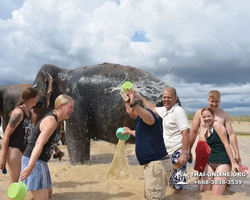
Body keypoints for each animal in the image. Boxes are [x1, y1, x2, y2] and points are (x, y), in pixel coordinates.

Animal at [33, 63, 180, 165]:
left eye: (37, 101)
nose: (57, 155)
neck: (62, 72)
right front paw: (85, 163)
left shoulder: (75, 103)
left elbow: (77, 133)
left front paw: (77, 165)